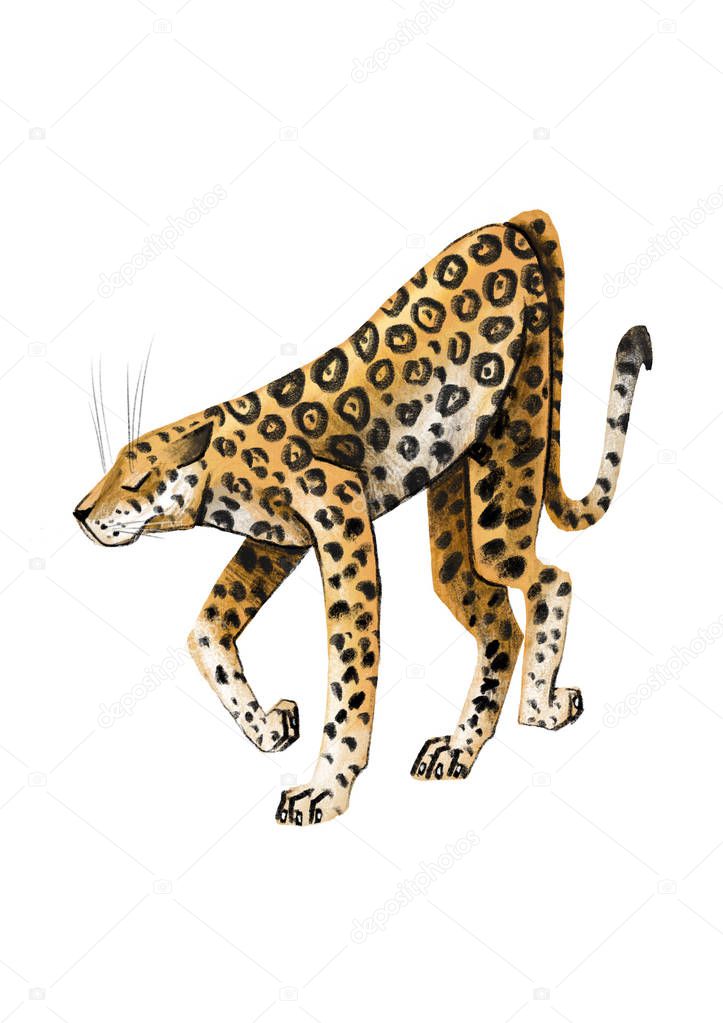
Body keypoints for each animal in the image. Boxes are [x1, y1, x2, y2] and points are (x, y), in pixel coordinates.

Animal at [74, 209, 652, 826]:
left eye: (134, 479)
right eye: (110, 469)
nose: (80, 512)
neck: (223, 474)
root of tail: (513, 222)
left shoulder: (340, 515)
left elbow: (350, 670)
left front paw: (325, 789)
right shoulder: (276, 544)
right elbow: (206, 630)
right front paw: (273, 726)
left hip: (506, 479)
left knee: (550, 579)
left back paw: (542, 707)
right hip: (453, 526)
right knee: (498, 622)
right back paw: (458, 748)